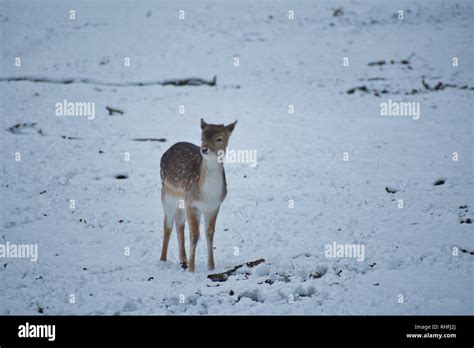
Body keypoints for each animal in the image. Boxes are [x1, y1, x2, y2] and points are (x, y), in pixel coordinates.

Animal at [160, 117, 237, 272]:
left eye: (219, 138)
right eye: (202, 137)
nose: (204, 149)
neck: (207, 195)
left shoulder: (214, 206)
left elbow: (209, 234)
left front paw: (211, 266)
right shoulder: (192, 203)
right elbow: (195, 235)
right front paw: (192, 268)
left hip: (181, 201)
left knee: (179, 223)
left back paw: (183, 259)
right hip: (166, 195)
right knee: (167, 224)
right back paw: (163, 260)